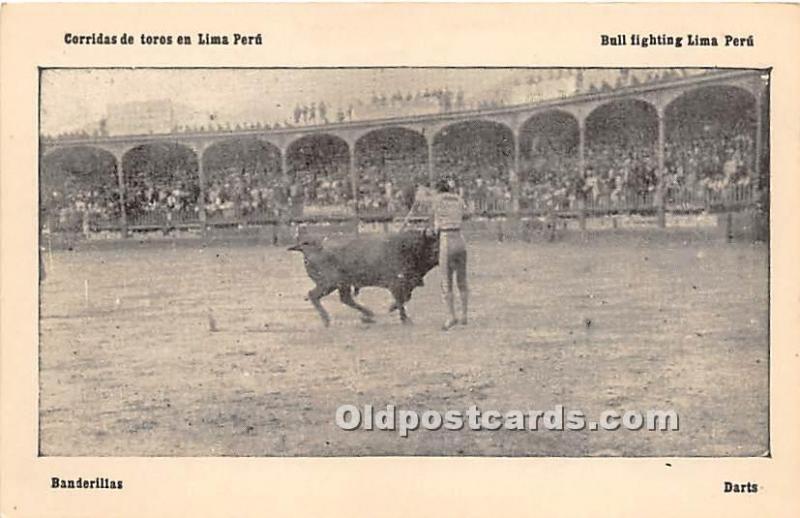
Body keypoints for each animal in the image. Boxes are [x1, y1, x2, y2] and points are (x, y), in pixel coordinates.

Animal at [288, 231, 438, 328]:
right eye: (431, 246)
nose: (438, 255)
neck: (405, 247)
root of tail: (308, 245)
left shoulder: (406, 285)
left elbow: (405, 298)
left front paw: (391, 309)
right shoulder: (396, 284)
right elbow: (401, 300)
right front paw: (405, 320)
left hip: (341, 285)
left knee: (345, 299)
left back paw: (368, 316)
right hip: (329, 284)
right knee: (313, 295)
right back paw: (327, 321)